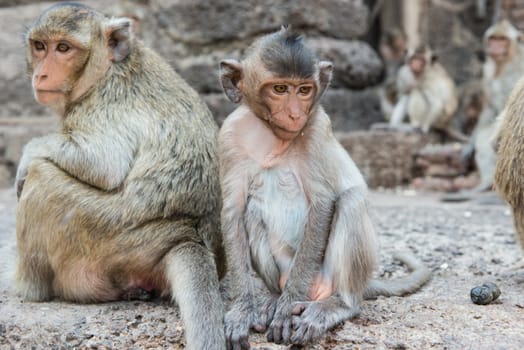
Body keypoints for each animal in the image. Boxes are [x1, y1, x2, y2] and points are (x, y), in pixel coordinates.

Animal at [15, 3, 225, 350]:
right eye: (40, 46)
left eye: (64, 48)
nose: (40, 74)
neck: (107, 69)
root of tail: (187, 233)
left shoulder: (104, 105)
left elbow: (104, 164)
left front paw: (30, 151)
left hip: (105, 235)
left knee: (42, 177)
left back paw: (28, 288)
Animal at [217, 28, 430, 350]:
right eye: (280, 88)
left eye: (304, 90)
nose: (295, 115)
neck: (273, 137)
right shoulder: (229, 136)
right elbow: (233, 211)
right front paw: (242, 308)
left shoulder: (317, 126)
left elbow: (323, 204)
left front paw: (286, 309)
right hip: (283, 269)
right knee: (251, 212)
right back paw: (274, 298)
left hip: (331, 274)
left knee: (350, 202)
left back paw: (333, 304)